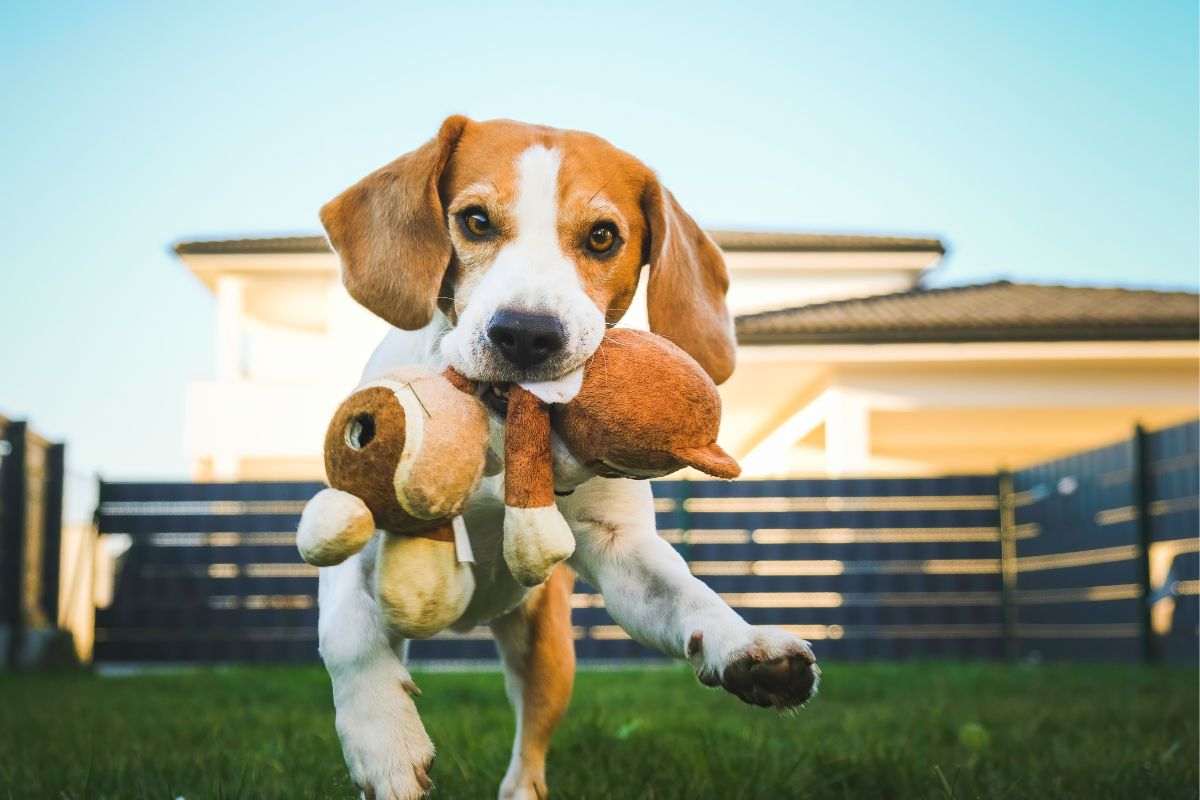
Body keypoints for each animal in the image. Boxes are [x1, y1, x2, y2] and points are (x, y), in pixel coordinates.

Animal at [316, 115, 816, 796]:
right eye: (475, 221)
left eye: (603, 237)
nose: (526, 333)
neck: (500, 432)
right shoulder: (356, 525)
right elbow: (346, 634)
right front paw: (383, 739)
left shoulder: (620, 549)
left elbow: (688, 594)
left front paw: (743, 647)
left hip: (547, 651)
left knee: (529, 747)